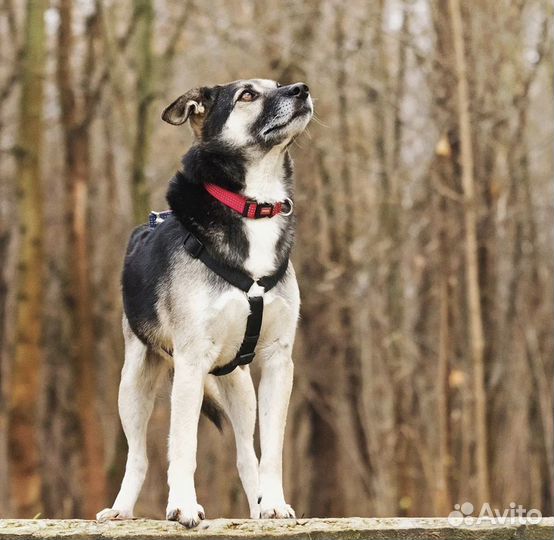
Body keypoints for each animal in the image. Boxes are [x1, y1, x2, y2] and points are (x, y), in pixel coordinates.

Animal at [95, 79, 310, 528]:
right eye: (248, 94)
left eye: (277, 84)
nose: (301, 89)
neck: (255, 207)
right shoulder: (191, 362)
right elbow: (183, 446)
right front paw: (183, 506)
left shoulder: (279, 360)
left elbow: (272, 450)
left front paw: (274, 504)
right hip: (134, 381)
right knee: (138, 454)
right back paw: (122, 508)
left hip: (240, 388)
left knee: (247, 455)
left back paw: (257, 506)